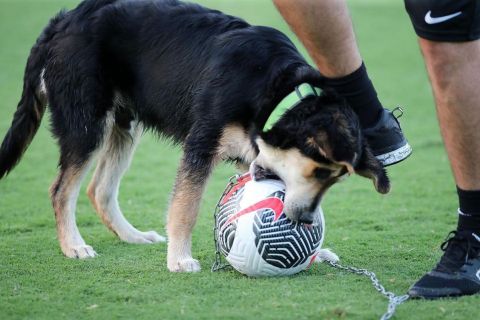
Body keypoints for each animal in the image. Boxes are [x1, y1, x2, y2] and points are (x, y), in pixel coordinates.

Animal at [0, 0, 388, 272]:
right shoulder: (201, 145)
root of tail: (63, 21)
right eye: (319, 172)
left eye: (333, 181)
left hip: (124, 125)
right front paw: (179, 260)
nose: (306, 221)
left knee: (100, 189)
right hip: (86, 124)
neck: (275, 91)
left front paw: (317, 252)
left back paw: (133, 236)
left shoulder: (251, 159)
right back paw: (73, 246)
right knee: (61, 190)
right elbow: (185, 208)